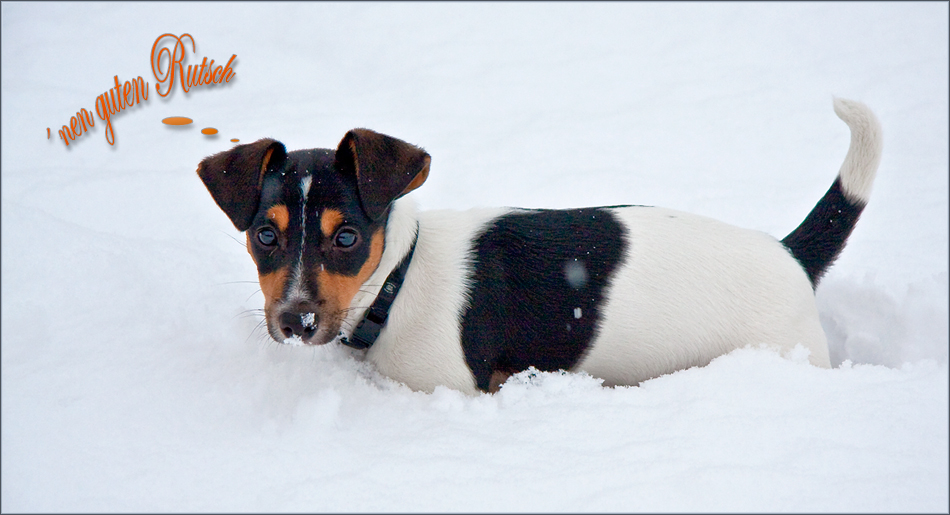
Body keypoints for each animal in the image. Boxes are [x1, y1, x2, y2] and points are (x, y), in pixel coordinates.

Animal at [199, 98, 884, 396]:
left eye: (346, 237)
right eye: (265, 235)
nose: (296, 321)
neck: (397, 279)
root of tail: (790, 255)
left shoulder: (451, 386)